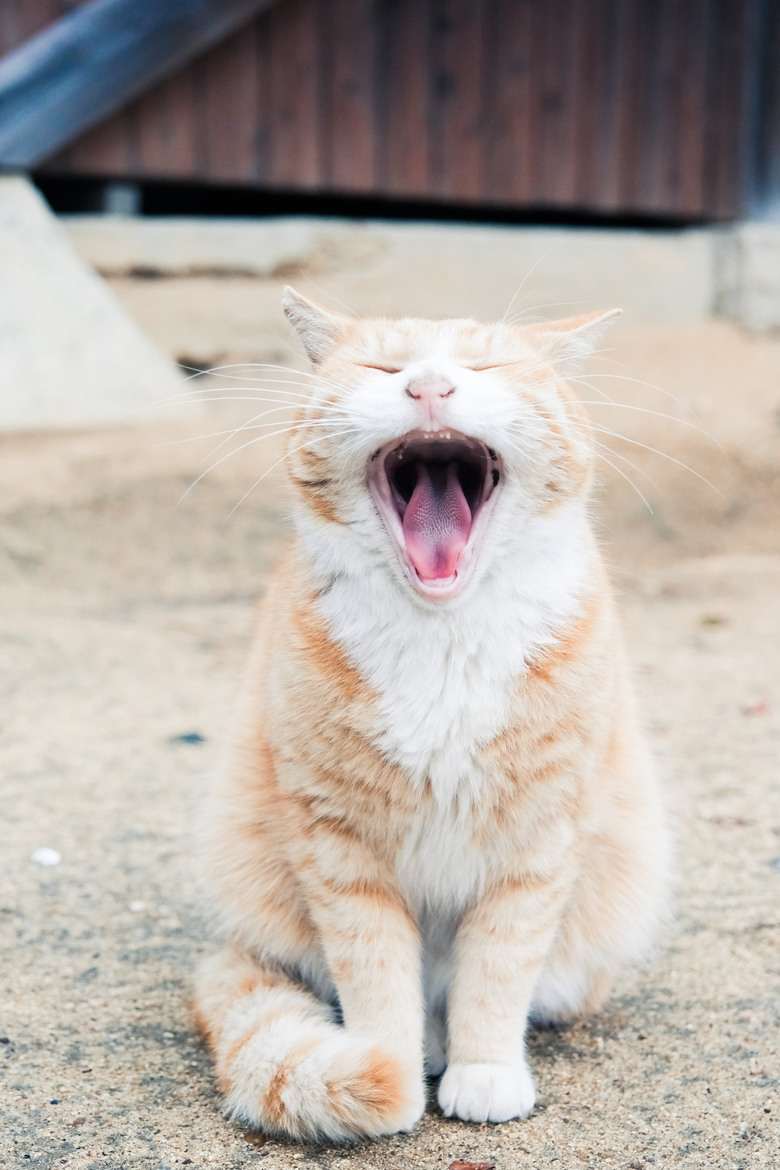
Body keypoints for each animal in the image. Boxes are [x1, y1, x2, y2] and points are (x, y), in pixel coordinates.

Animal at [190, 290, 673, 1141]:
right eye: (383, 366)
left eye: (487, 365)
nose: (429, 386)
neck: (443, 637)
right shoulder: (339, 847)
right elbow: (376, 975)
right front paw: (390, 1066)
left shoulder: (536, 845)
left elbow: (497, 972)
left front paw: (485, 1070)